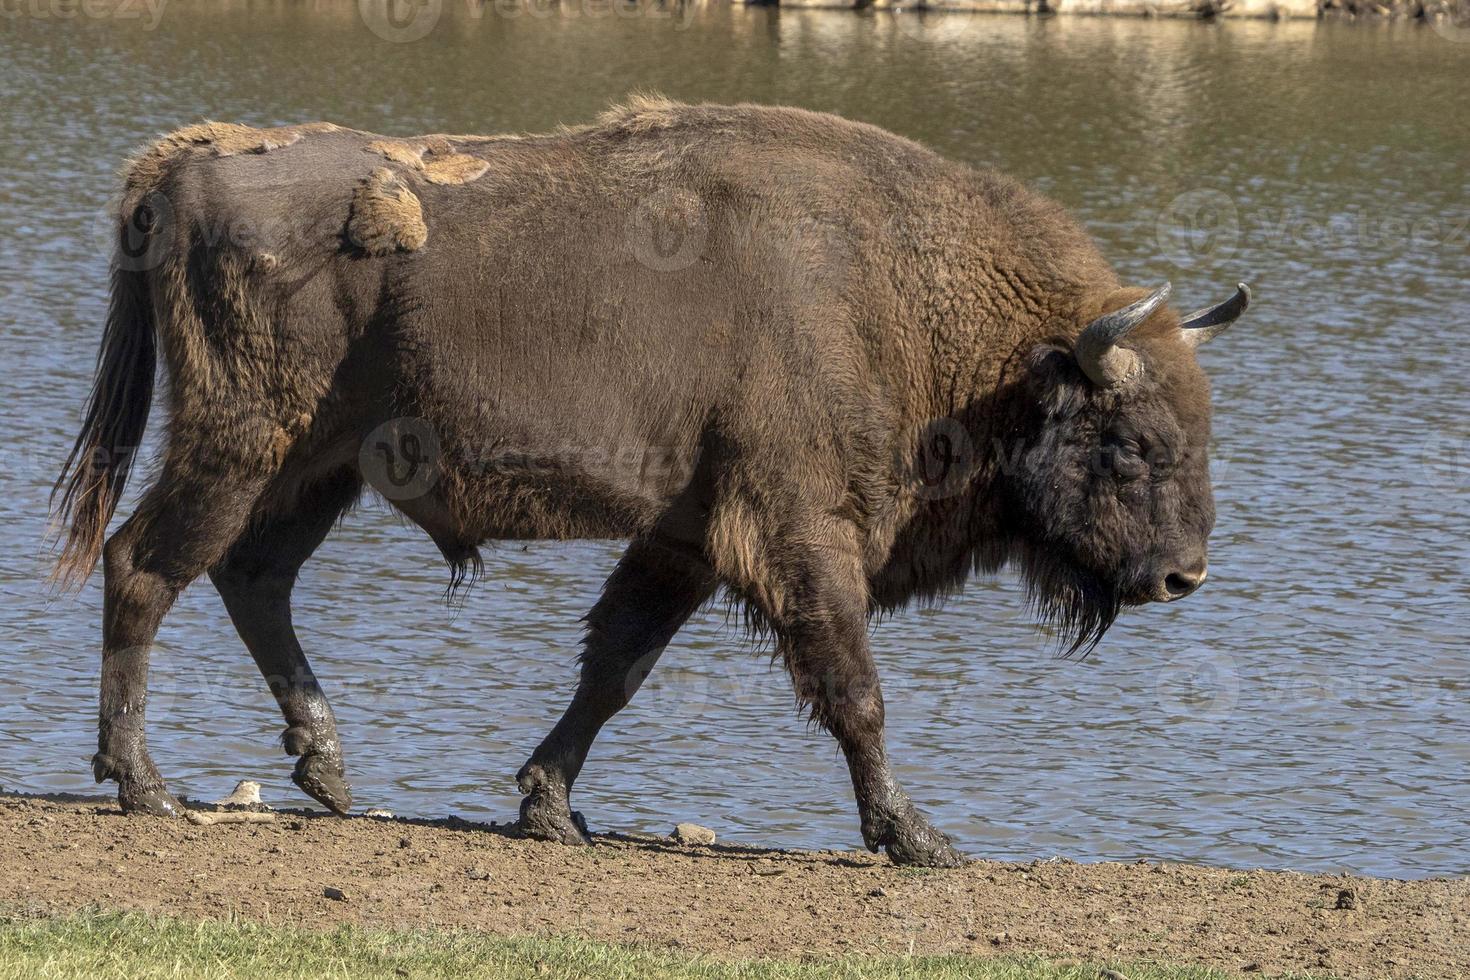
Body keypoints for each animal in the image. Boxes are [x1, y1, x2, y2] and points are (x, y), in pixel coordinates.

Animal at [57, 99, 1252, 863]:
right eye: (1129, 442)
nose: (1183, 575)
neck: (902, 296)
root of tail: (176, 168)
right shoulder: (799, 533)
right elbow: (853, 690)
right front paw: (919, 837)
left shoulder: (683, 539)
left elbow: (615, 667)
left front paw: (548, 807)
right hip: (242, 442)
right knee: (144, 565)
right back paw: (145, 785)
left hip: (317, 468)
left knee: (250, 577)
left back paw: (326, 771)